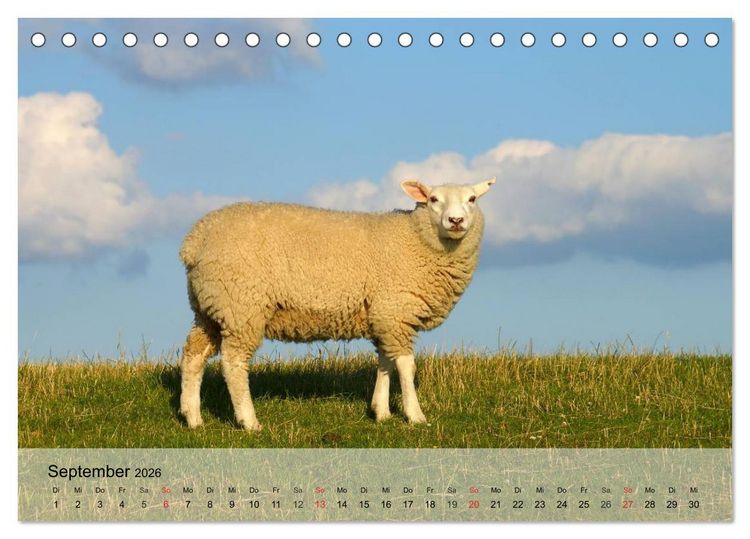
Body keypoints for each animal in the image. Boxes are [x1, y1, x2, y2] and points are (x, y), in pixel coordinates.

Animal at [178, 178, 495, 432]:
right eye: (433, 199)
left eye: (472, 199)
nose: (456, 221)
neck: (415, 240)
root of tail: (195, 240)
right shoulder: (395, 311)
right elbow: (406, 366)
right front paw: (415, 415)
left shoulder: (383, 315)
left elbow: (385, 362)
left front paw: (381, 412)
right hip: (242, 306)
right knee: (233, 363)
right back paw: (249, 421)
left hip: (209, 309)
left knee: (194, 355)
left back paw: (193, 417)